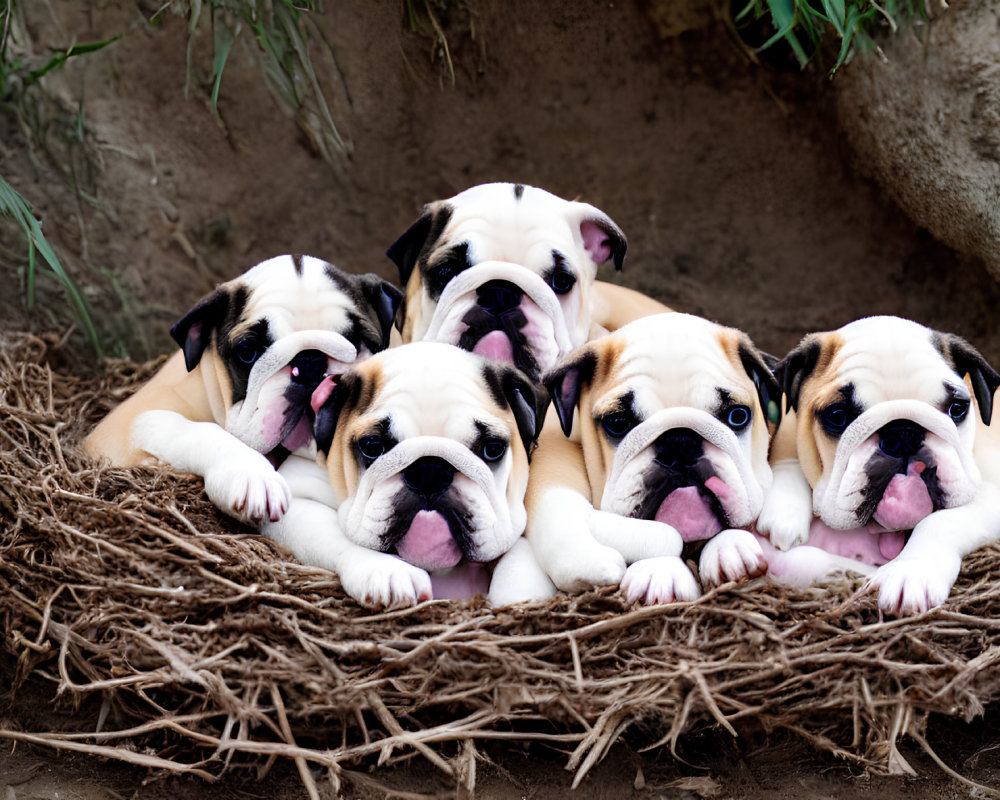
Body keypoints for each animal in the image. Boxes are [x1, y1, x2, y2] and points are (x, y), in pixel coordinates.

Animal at [83, 255, 402, 524]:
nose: (310, 362)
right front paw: (251, 474)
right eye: (248, 351)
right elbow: (199, 430)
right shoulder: (129, 422)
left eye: (359, 342)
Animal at [260, 340, 548, 608]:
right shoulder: (299, 501)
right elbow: (335, 538)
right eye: (372, 446)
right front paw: (386, 570)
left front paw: (519, 593)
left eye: (492, 448)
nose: (430, 471)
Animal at [756, 316, 1000, 616]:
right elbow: (788, 454)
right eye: (837, 415)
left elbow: (939, 522)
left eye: (957, 408)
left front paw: (910, 572)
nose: (904, 433)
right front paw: (784, 509)